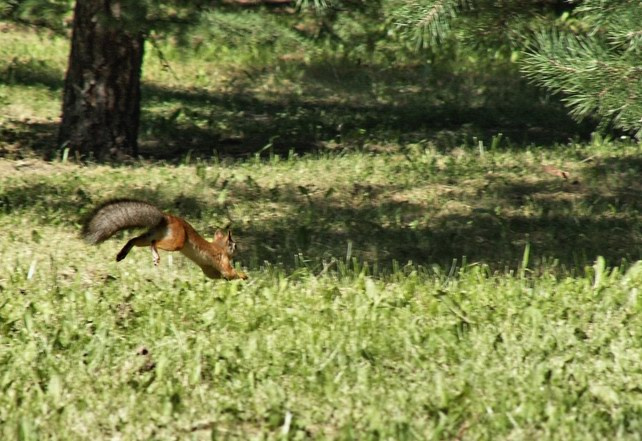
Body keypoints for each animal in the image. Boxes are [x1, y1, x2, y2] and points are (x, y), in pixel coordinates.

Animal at [82, 199, 247, 280]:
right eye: (235, 245)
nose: (238, 251)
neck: (219, 247)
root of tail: (166, 218)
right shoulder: (223, 260)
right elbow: (230, 273)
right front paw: (243, 275)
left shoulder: (209, 270)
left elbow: (218, 276)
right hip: (176, 242)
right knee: (154, 243)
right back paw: (155, 255)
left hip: (151, 235)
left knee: (134, 240)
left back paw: (122, 254)